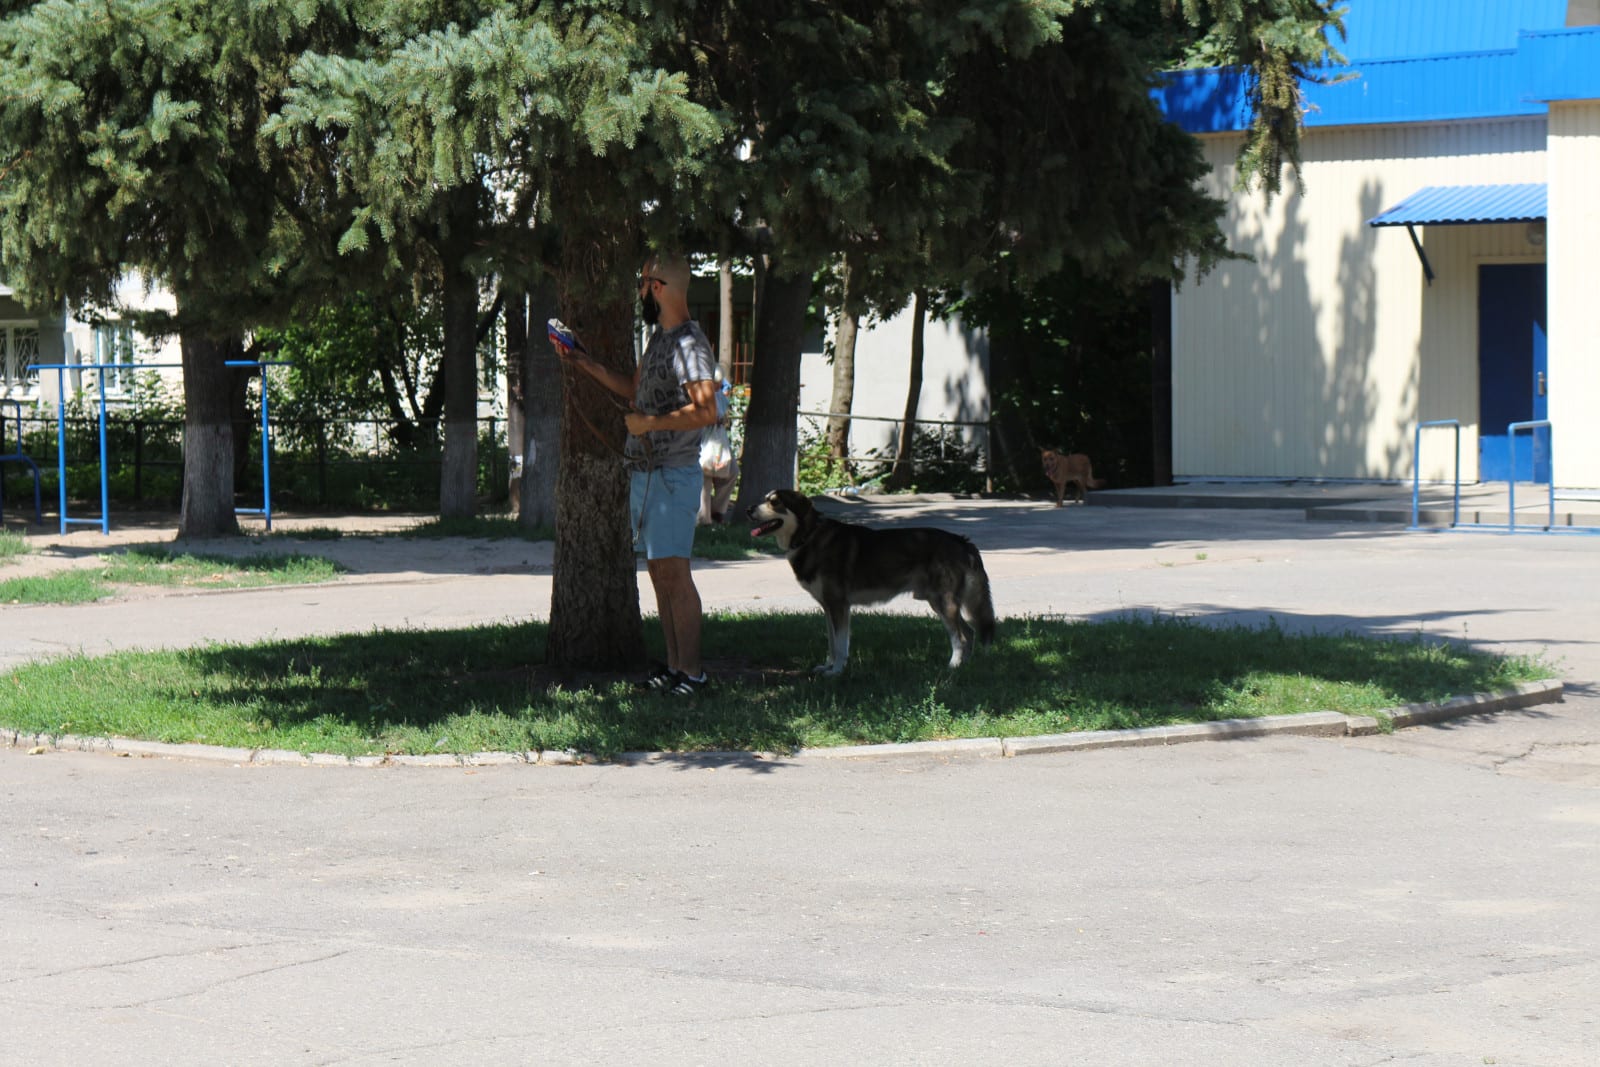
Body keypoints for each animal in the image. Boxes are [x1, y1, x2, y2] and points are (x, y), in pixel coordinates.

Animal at [745, 492, 992, 675]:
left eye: (774, 501)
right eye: (766, 498)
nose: (748, 509)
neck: (809, 536)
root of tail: (961, 540)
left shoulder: (839, 606)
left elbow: (841, 645)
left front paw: (836, 672)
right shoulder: (828, 608)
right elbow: (832, 644)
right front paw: (828, 666)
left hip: (944, 602)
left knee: (960, 637)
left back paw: (952, 667)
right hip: (939, 602)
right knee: (970, 633)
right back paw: (965, 667)